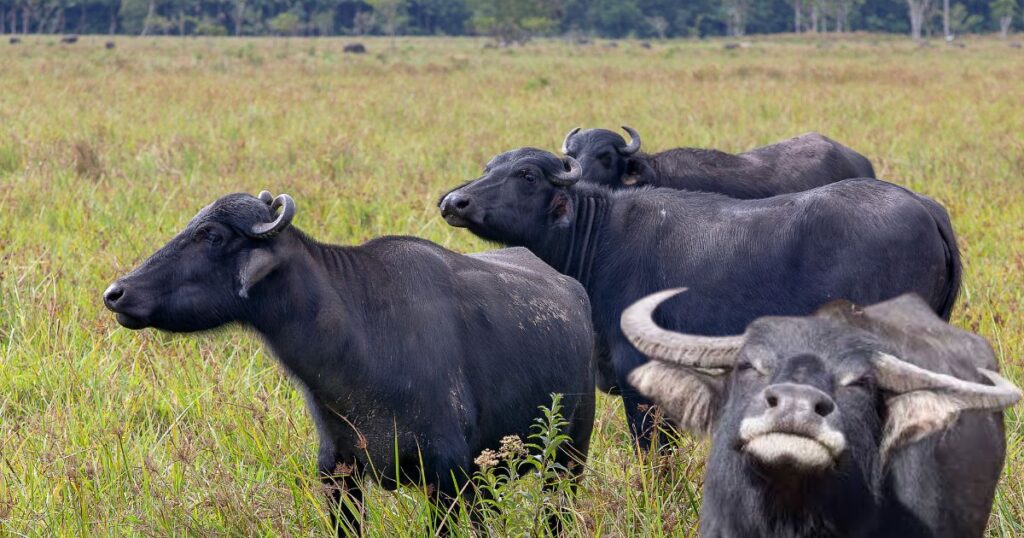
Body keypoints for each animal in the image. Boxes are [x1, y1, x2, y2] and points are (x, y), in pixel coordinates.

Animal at [99, 190, 598, 532]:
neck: (362, 345)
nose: (116, 293)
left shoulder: (447, 478)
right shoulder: (338, 477)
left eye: (212, 235)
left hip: (567, 459)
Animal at [438, 146, 958, 444]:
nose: (454, 201)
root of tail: (925, 207)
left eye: (527, 175)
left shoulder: (641, 381)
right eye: (490, 168)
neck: (598, 240)